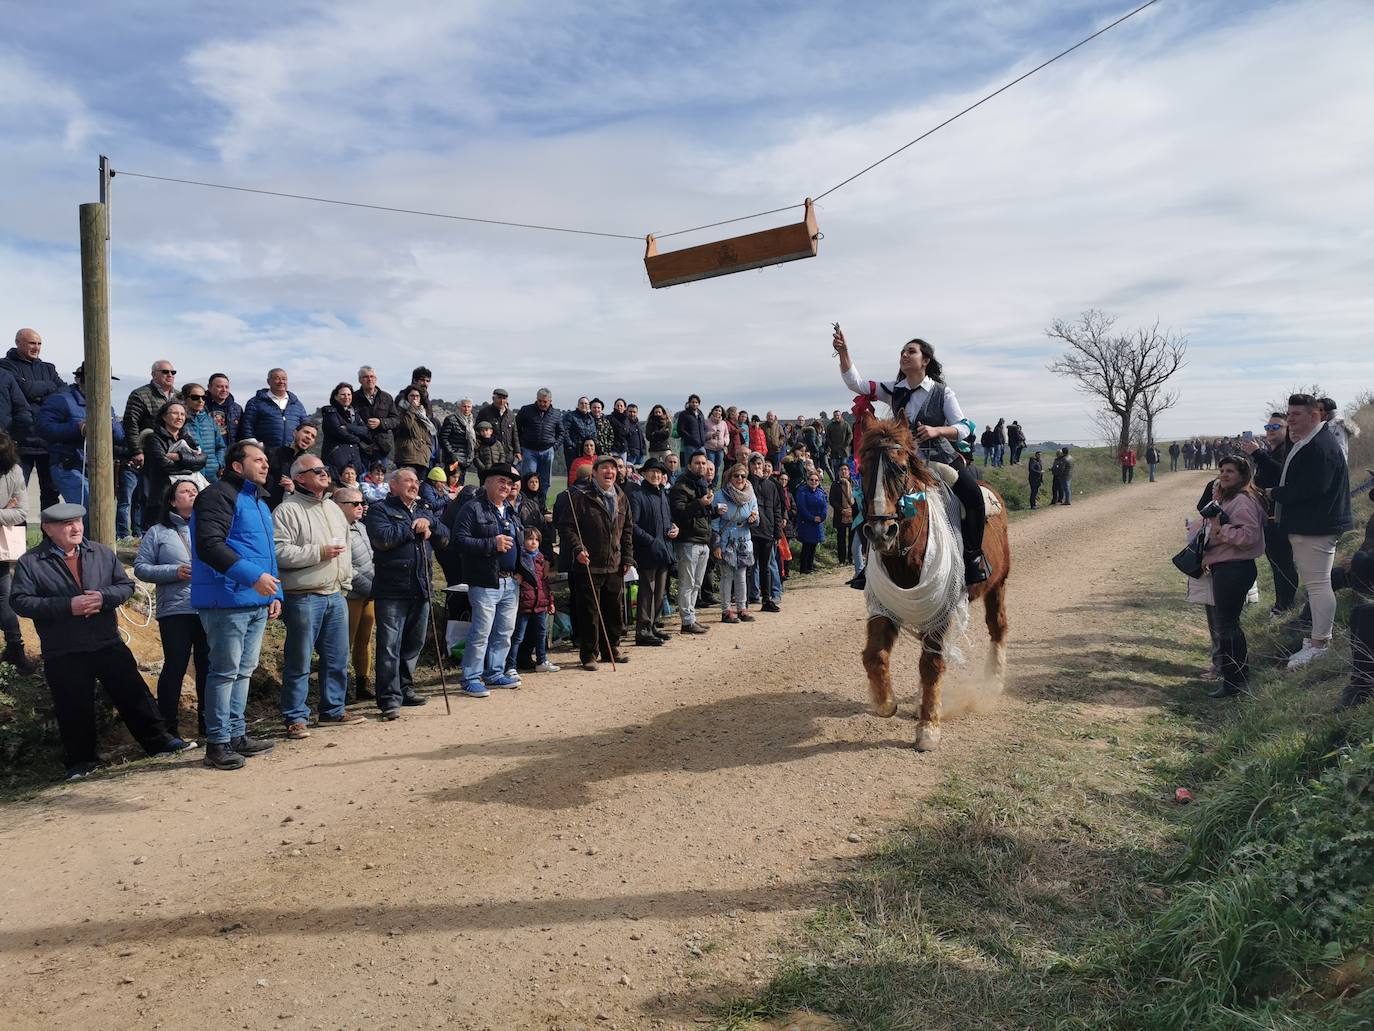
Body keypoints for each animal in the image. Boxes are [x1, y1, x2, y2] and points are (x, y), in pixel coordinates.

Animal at [857, 412, 1011, 753]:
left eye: (901, 468)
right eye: (862, 470)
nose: (880, 531)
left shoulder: (942, 610)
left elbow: (931, 664)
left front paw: (928, 727)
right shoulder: (884, 608)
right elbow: (875, 656)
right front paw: (886, 703)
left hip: (998, 585)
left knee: (997, 627)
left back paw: (995, 680)